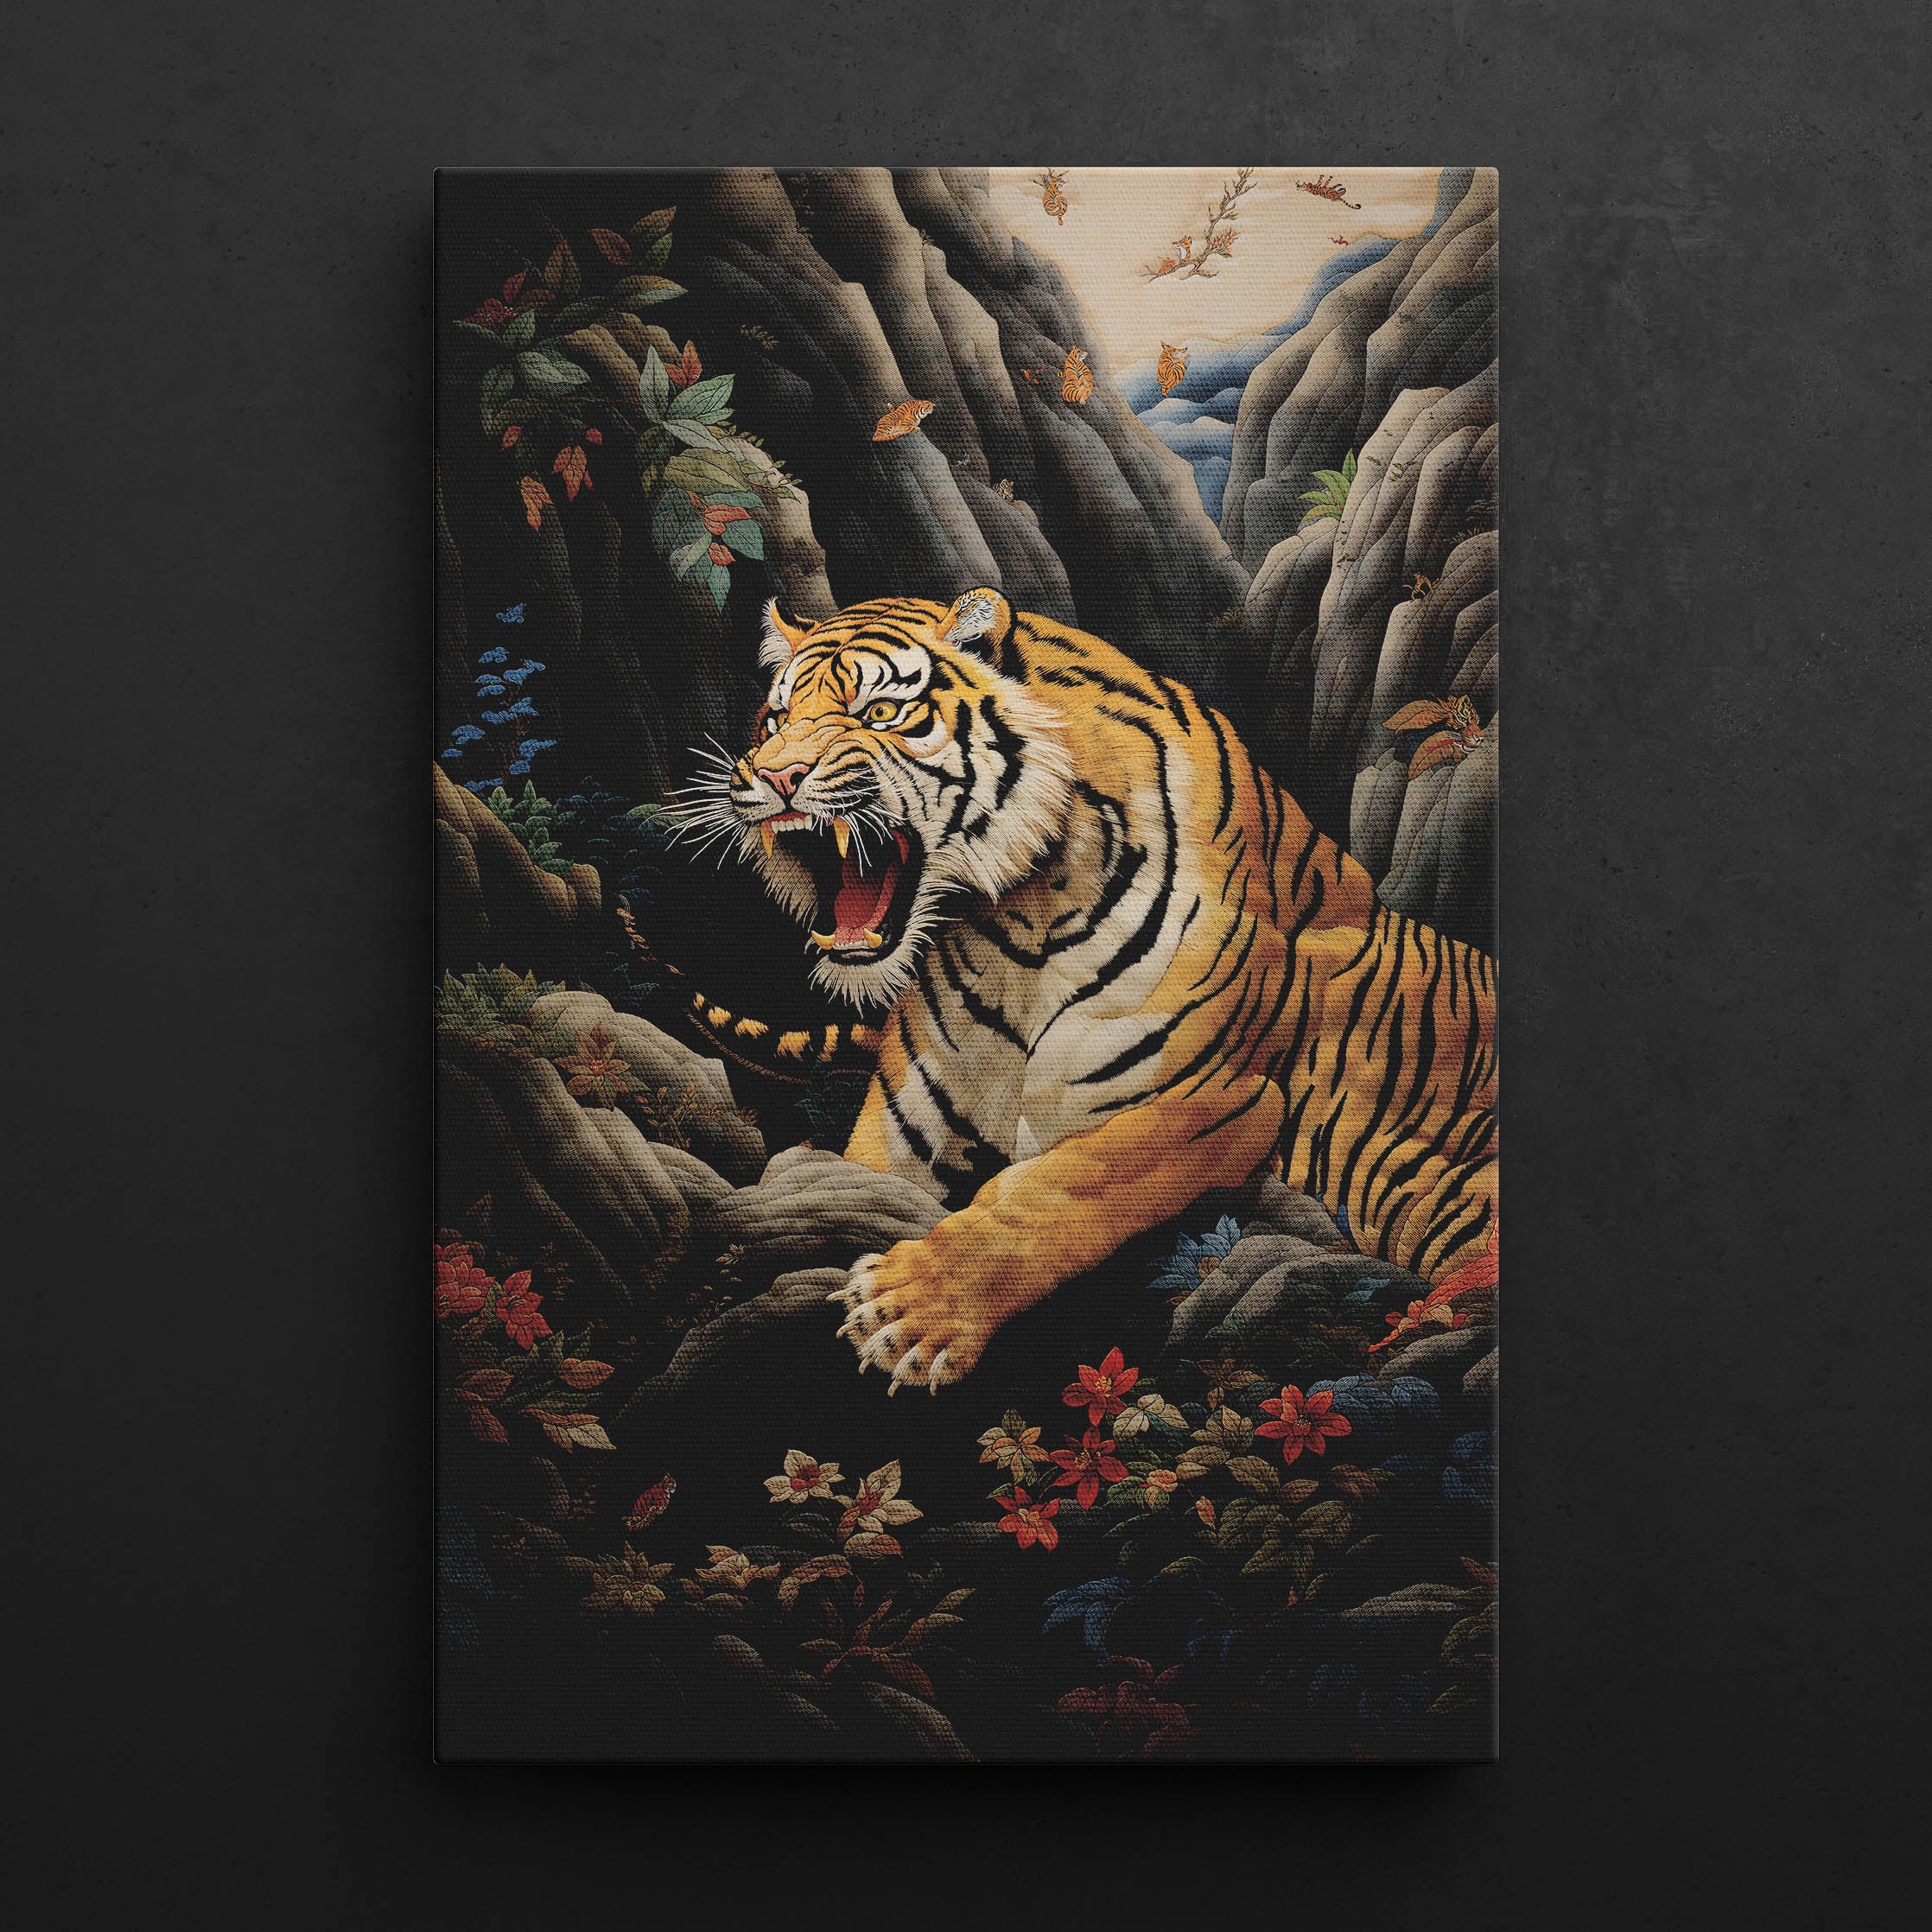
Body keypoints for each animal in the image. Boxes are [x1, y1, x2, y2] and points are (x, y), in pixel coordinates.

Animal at [682, 590, 1497, 1393]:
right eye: (775, 722)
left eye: (880, 713)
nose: (773, 779)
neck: (1010, 923)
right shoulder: (907, 1117)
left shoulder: (1218, 1098)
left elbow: (1055, 1188)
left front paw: (907, 1310)